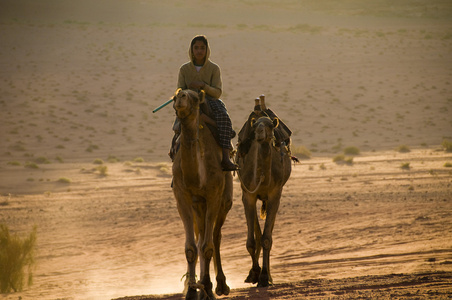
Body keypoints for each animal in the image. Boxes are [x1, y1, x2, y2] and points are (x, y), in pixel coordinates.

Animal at [170, 89, 231, 300]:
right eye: (175, 96)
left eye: (195, 99)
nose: (179, 98)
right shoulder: (182, 197)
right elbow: (191, 248)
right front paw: (191, 291)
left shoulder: (213, 196)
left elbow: (207, 247)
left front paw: (207, 288)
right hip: (199, 205)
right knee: (201, 234)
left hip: (224, 201)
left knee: (215, 236)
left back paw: (219, 286)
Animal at [235, 96, 294, 288]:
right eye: (255, 126)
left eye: (269, 125)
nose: (260, 133)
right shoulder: (248, 194)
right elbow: (252, 241)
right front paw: (253, 274)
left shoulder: (275, 193)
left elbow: (267, 238)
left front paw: (265, 277)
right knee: (256, 232)